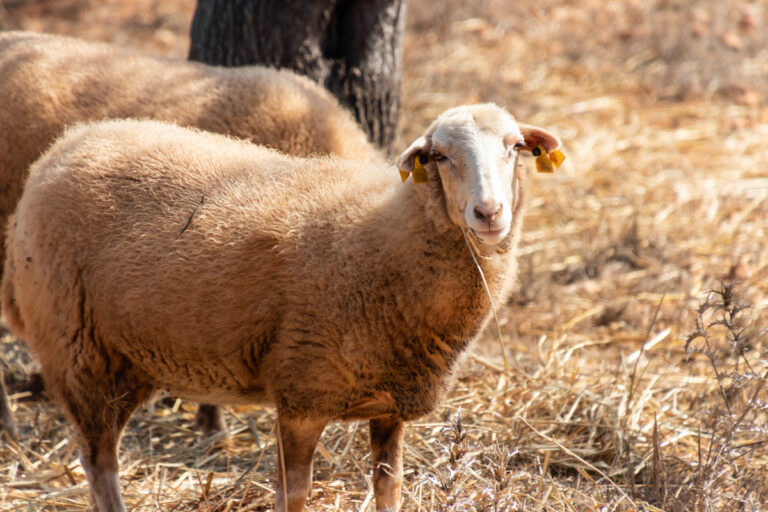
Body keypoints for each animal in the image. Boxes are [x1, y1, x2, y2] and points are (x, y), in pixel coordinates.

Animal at [1, 105, 564, 512]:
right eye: (439, 157)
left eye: (516, 148)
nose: (488, 213)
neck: (387, 238)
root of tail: (64, 146)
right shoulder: (301, 395)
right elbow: (294, 496)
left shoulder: (389, 405)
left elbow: (389, 490)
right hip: (77, 350)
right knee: (99, 464)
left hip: (129, 357)